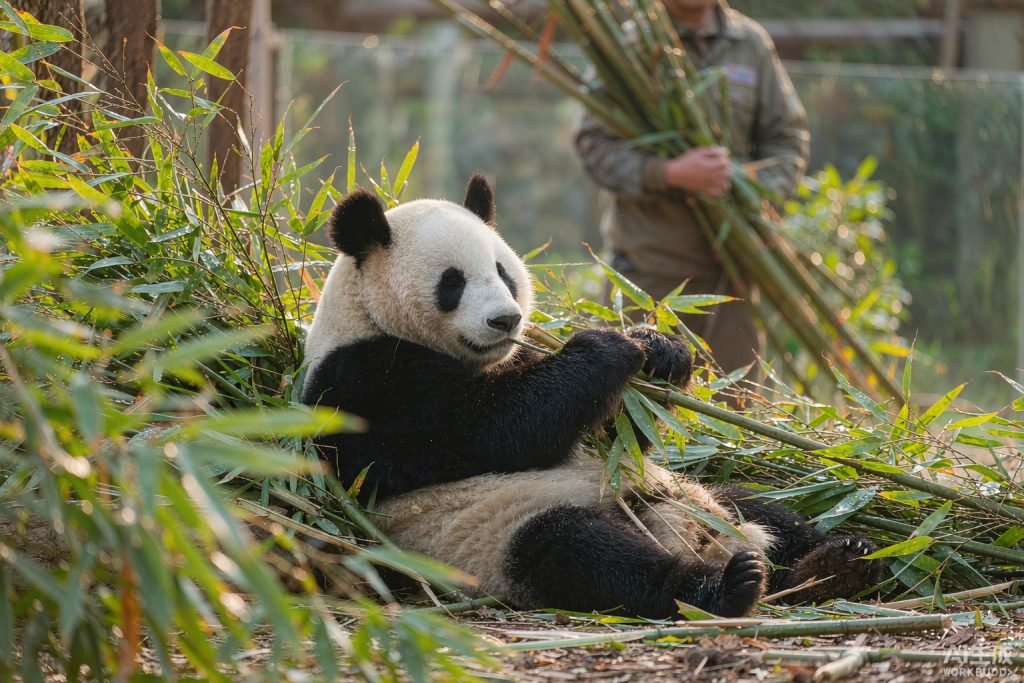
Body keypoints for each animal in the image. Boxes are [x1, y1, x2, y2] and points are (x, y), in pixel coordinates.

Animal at [301, 175, 881, 618]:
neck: (367, 315)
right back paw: (727, 587)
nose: (506, 320)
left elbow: (617, 435)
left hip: (686, 492)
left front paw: (660, 350)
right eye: (453, 282)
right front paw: (605, 346)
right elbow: (490, 429)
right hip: (494, 536)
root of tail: (694, 536)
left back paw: (837, 561)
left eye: (503, 272)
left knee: (766, 509)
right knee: (584, 557)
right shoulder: (366, 382)